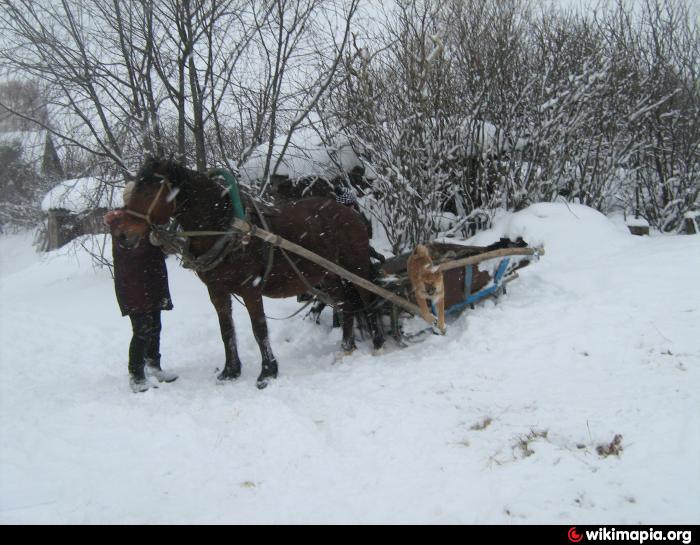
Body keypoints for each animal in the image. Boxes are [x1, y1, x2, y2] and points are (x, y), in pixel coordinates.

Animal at [117, 156, 386, 386]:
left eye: (148, 190)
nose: (123, 235)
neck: (225, 228)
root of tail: (351, 212)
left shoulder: (250, 288)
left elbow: (259, 329)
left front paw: (267, 373)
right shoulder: (217, 291)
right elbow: (226, 330)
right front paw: (230, 371)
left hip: (355, 266)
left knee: (368, 298)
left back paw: (378, 343)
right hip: (328, 274)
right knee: (344, 304)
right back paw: (346, 348)